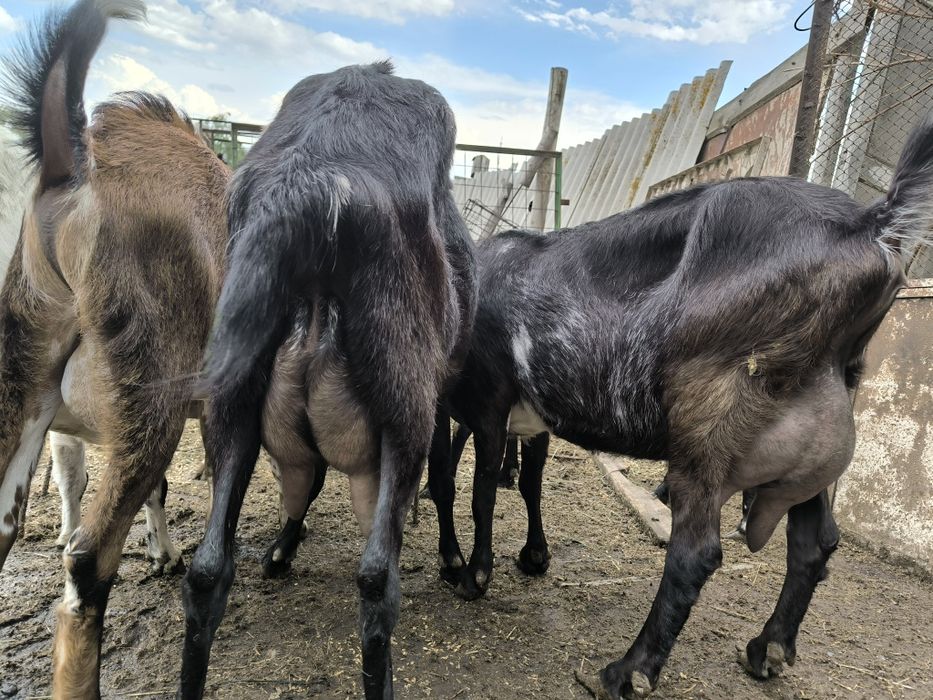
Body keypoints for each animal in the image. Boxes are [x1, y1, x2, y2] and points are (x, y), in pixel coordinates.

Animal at [178, 61, 476, 699]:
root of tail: (306, 187)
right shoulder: (437, 396)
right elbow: (442, 479)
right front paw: (453, 562)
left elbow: (307, 480)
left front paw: (282, 550)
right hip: (405, 406)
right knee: (377, 581)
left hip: (232, 403)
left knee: (207, 570)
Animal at [427, 116, 933, 698]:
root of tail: (874, 225)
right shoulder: (527, 419)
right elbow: (524, 482)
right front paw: (529, 557)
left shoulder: (489, 404)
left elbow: (475, 488)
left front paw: (469, 573)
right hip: (810, 435)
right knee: (815, 542)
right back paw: (767, 649)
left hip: (707, 424)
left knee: (696, 553)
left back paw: (627, 671)